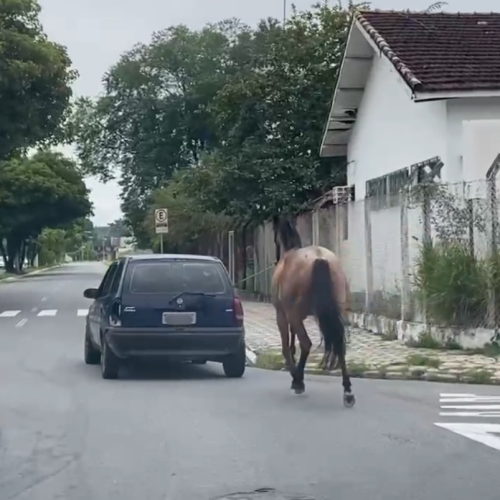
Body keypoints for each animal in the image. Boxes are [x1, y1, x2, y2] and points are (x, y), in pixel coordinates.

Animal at [270, 215, 356, 406]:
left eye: (275, 238)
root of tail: (320, 258)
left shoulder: (283, 314)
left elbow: (286, 346)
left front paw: (294, 373)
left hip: (294, 314)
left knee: (306, 343)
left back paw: (298, 381)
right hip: (336, 311)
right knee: (340, 344)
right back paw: (347, 391)